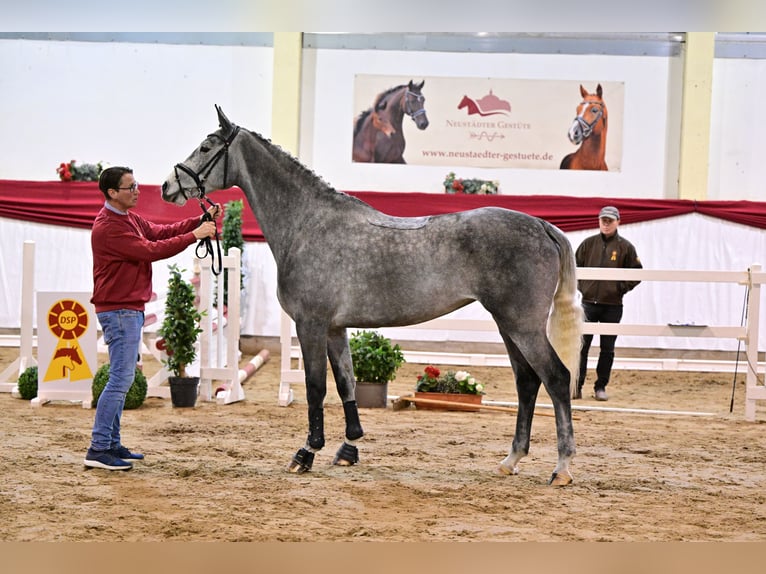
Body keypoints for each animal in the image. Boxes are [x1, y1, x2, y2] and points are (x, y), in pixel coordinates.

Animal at [162, 104, 584, 486]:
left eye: (206, 146)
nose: (168, 186)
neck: (307, 223)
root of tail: (541, 225)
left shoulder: (311, 324)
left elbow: (316, 387)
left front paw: (306, 453)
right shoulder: (335, 329)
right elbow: (346, 383)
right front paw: (349, 448)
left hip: (523, 326)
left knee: (556, 378)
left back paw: (562, 468)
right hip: (508, 326)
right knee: (527, 382)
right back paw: (511, 460)